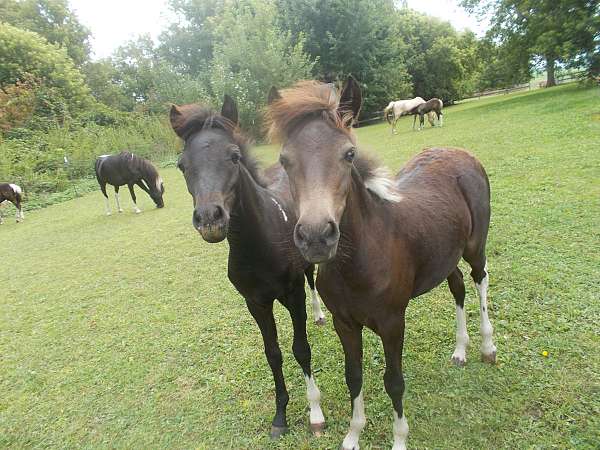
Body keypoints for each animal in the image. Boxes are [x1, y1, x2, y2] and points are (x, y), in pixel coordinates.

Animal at [169, 94, 328, 440]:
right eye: (182, 165)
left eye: (234, 156)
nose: (210, 219)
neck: (260, 246)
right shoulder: (255, 303)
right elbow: (273, 354)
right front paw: (280, 416)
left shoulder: (292, 294)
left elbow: (301, 349)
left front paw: (315, 413)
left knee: (312, 280)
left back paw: (320, 314)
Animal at [268, 78, 496, 450]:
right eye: (284, 160)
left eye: (349, 153)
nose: (316, 237)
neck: (359, 261)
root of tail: (460, 153)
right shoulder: (344, 323)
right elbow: (354, 376)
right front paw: (352, 435)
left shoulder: (392, 322)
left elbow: (394, 381)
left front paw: (399, 439)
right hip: (445, 255)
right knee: (458, 286)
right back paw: (460, 350)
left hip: (475, 247)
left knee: (480, 281)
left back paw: (487, 347)